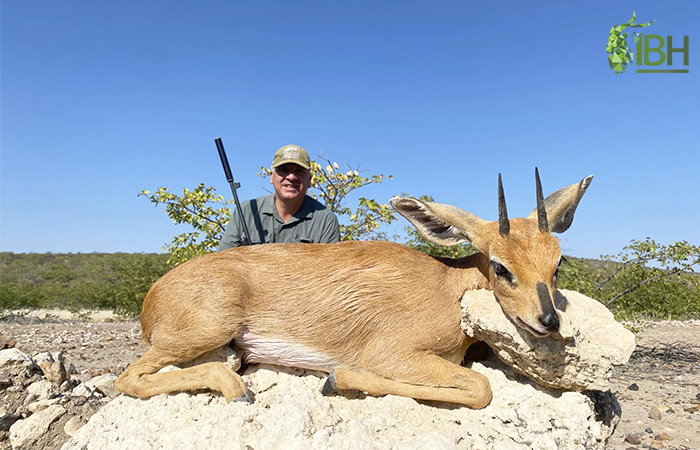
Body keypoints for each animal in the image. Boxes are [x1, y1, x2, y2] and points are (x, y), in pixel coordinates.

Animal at [115, 169, 592, 408]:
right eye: (500, 266)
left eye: (558, 262)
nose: (548, 321)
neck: (448, 285)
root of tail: (152, 297)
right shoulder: (393, 354)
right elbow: (480, 389)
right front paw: (337, 379)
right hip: (203, 331)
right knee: (127, 378)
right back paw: (238, 390)